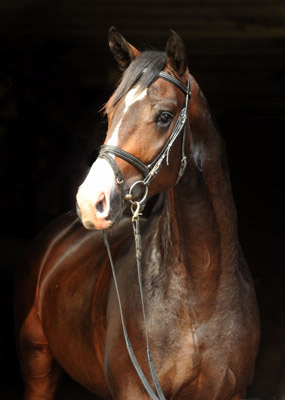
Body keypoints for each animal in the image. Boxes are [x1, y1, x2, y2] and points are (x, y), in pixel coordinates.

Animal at [15, 26, 260, 398]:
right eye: (109, 112)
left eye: (164, 116)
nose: (90, 201)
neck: (202, 294)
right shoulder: (136, 389)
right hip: (36, 360)